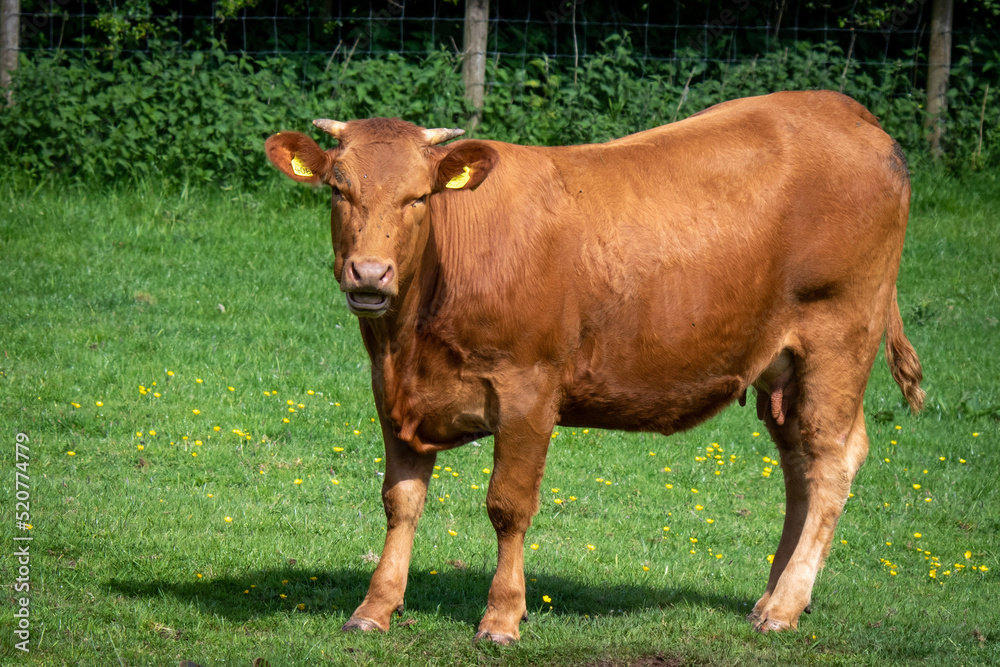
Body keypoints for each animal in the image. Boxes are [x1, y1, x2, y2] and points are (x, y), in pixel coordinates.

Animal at [264, 91, 920, 644]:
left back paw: (784, 607)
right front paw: (375, 608)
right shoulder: (394, 394)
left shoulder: (529, 390)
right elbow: (400, 501)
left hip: (839, 338)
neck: (411, 338)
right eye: (338, 191)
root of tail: (846, 110)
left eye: (419, 197)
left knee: (831, 461)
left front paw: (502, 618)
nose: (370, 275)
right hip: (781, 365)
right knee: (798, 466)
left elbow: (508, 506)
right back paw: (773, 596)